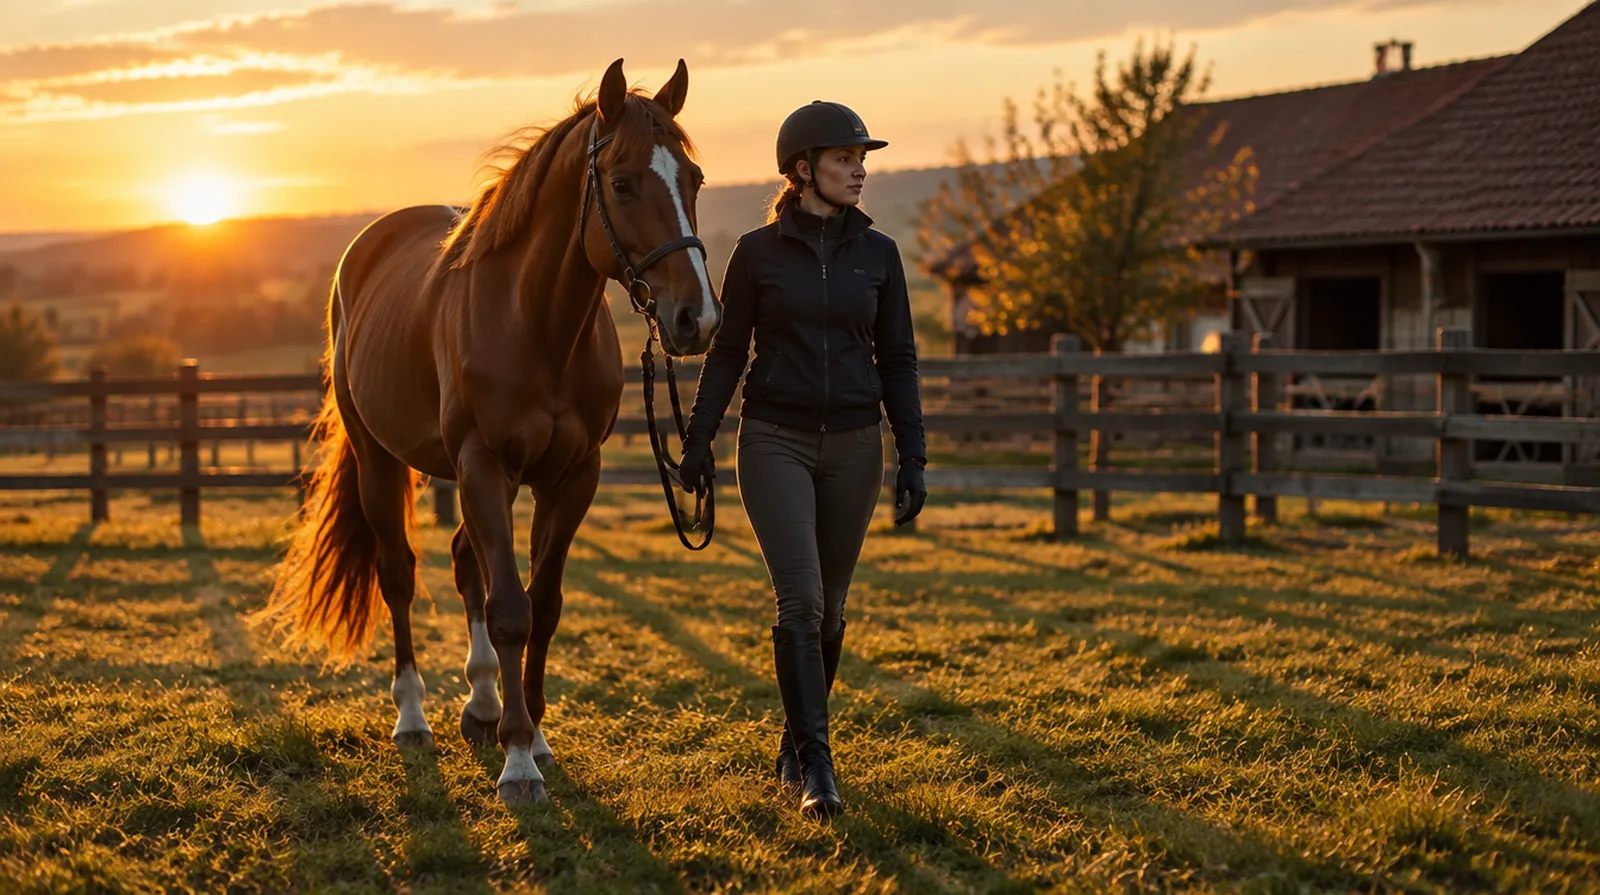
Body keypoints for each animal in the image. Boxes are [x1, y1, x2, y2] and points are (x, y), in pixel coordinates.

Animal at [259, 58, 721, 804]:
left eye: (694, 180)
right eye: (622, 182)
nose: (696, 319)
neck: (535, 323)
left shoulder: (571, 476)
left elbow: (543, 602)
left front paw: (531, 731)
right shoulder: (482, 463)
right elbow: (509, 608)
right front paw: (519, 761)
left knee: (463, 560)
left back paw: (480, 705)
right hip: (381, 460)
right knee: (401, 573)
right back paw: (414, 718)